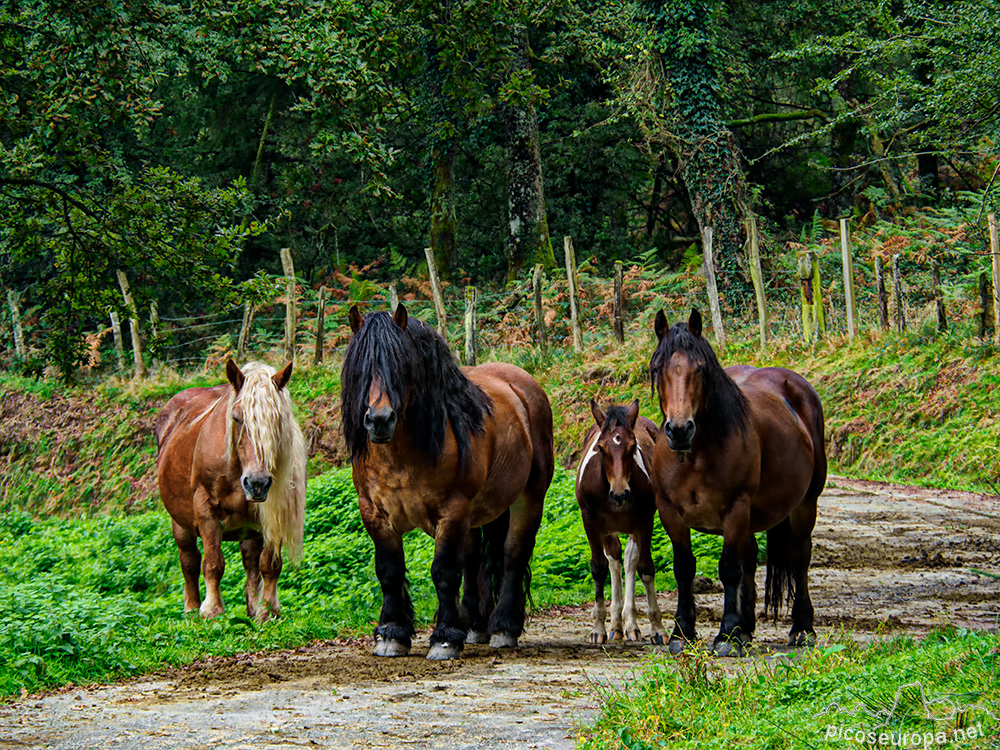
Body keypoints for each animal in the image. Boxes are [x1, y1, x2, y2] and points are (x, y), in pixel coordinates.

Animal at [153, 362, 304, 624]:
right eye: (236, 418)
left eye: (277, 421)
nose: (257, 482)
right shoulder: (206, 511)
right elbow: (213, 563)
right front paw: (212, 611)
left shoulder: (273, 512)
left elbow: (269, 565)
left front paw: (268, 611)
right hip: (180, 524)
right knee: (189, 562)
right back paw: (191, 610)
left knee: (251, 564)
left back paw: (252, 609)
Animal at [340, 302, 552, 660]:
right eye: (361, 368)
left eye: (402, 365)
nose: (379, 420)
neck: (400, 457)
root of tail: (523, 384)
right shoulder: (374, 514)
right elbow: (389, 572)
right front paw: (392, 633)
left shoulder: (452, 513)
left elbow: (444, 573)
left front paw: (444, 638)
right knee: (476, 559)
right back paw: (477, 625)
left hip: (528, 499)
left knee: (512, 556)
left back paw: (503, 628)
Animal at [580, 400, 664, 648]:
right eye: (601, 448)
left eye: (633, 446)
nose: (620, 494)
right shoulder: (590, 522)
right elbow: (599, 569)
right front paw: (598, 628)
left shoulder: (644, 522)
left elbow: (645, 568)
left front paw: (657, 628)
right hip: (609, 529)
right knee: (614, 559)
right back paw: (616, 625)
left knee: (629, 560)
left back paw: (630, 625)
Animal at [648, 308, 828, 656]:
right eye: (657, 369)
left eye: (700, 368)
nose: (679, 430)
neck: (695, 454)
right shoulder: (669, 512)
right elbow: (683, 567)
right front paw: (682, 632)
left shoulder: (735, 508)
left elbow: (729, 567)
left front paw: (725, 635)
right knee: (751, 559)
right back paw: (746, 630)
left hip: (804, 505)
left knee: (799, 557)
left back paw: (801, 629)